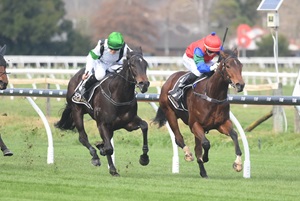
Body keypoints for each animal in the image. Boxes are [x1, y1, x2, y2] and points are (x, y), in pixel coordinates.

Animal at [54, 47, 150, 176]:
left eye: (145, 64)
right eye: (132, 65)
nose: (144, 84)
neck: (118, 95)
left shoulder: (128, 123)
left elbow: (144, 125)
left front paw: (144, 158)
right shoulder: (102, 124)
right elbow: (108, 148)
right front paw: (103, 153)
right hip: (76, 111)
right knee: (82, 137)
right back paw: (95, 157)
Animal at [154, 48, 245, 178]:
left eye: (241, 65)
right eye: (227, 66)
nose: (240, 85)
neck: (212, 95)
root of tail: (169, 79)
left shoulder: (221, 124)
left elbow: (234, 135)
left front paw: (238, 164)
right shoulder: (195, 125)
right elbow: (206, 143)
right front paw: (205, 158)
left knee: (197, 147)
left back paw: (203, 172)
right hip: (170, 113)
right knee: (179, 138)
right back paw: (188, 154)